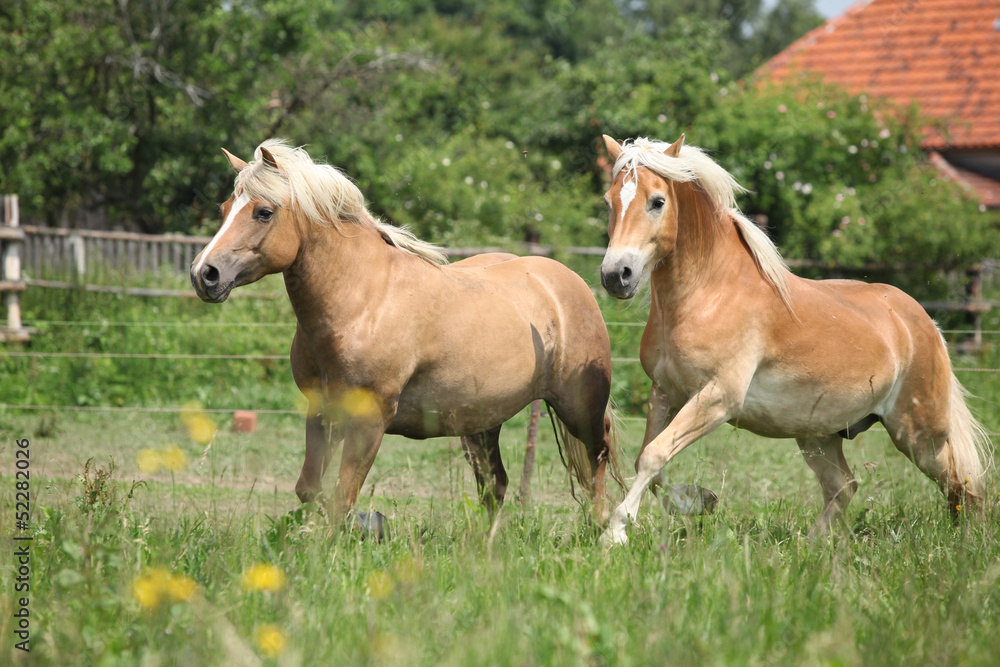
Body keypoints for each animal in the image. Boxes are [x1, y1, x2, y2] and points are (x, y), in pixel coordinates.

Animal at [190, 141, 620, 532]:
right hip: (482, 424)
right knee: (495, 486)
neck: (363, 301)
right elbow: (311, 489)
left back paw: (602, 531)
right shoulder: (321, 411)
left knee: (597, 459)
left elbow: (342, 498)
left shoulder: (369, 419)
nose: (204, 274)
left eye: (264, 212)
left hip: (578, 407)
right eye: (225, 209)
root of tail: (570, 282)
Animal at [596, 133, 988, 544]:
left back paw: (969, 541)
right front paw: (698, 501)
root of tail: (924, 323)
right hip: (819, 434)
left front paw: (616, 532)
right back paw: (813, 543)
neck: (709, 293)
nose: (616, 275)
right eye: (608, 201)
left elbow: (653, 456)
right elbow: (650, 462)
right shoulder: (664, 393)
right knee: (844, 486)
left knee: (963, 483)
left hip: (918, 434)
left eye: (658, 201)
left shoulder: (717, 399)